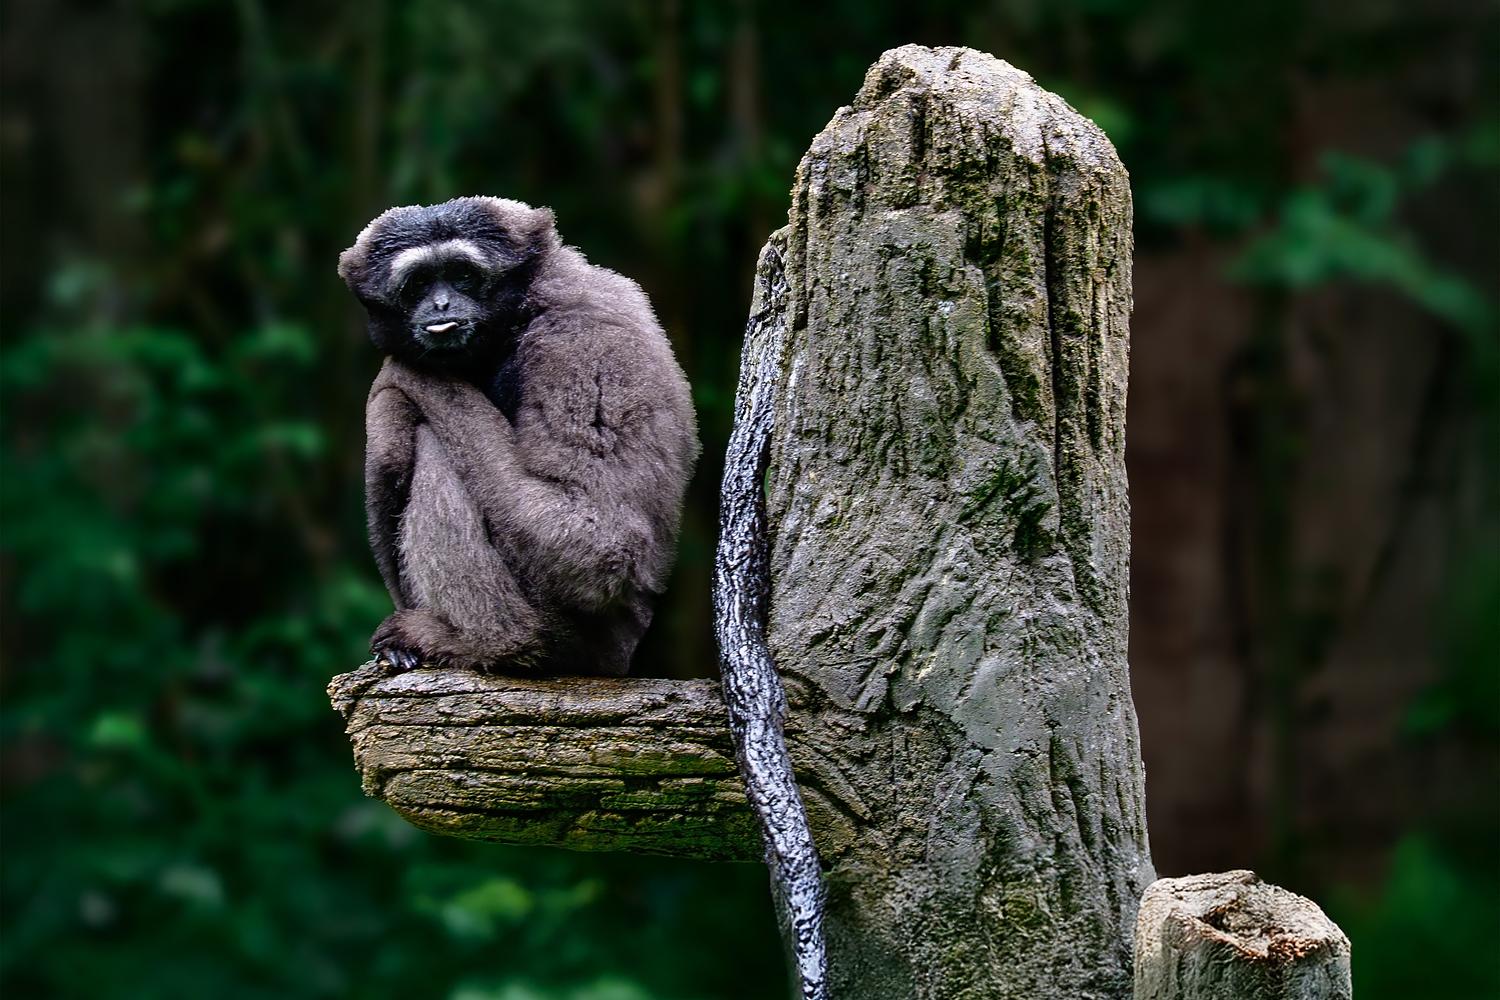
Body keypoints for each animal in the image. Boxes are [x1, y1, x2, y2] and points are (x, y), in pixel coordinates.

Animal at [338, 196, 699, 676]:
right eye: (418, 284)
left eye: (462, 275)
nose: (440, 304)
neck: (522, 313)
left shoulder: (578, 347)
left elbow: (603, 545)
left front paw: (395, 384)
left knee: (431, 445)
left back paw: (496, 643)